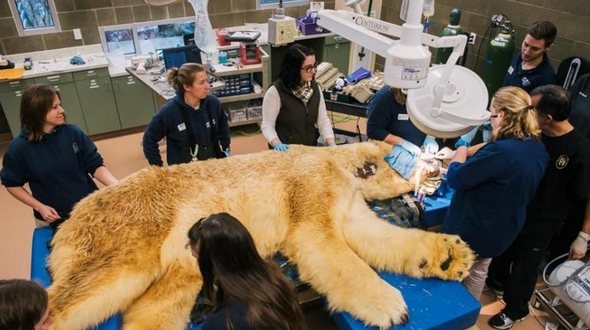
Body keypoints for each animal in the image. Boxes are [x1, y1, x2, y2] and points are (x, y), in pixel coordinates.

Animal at [46, 142, 476, 330]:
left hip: (184, 260)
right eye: (399, 164)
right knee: (82, 290)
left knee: (159, 304)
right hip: (129, 233)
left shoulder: (349, 203)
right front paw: (391, 306)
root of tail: (70, 219)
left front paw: (451, 256)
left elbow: (374, 235)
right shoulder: (309, 188)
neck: (332, 160)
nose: (420, 180)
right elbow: (323, 244)